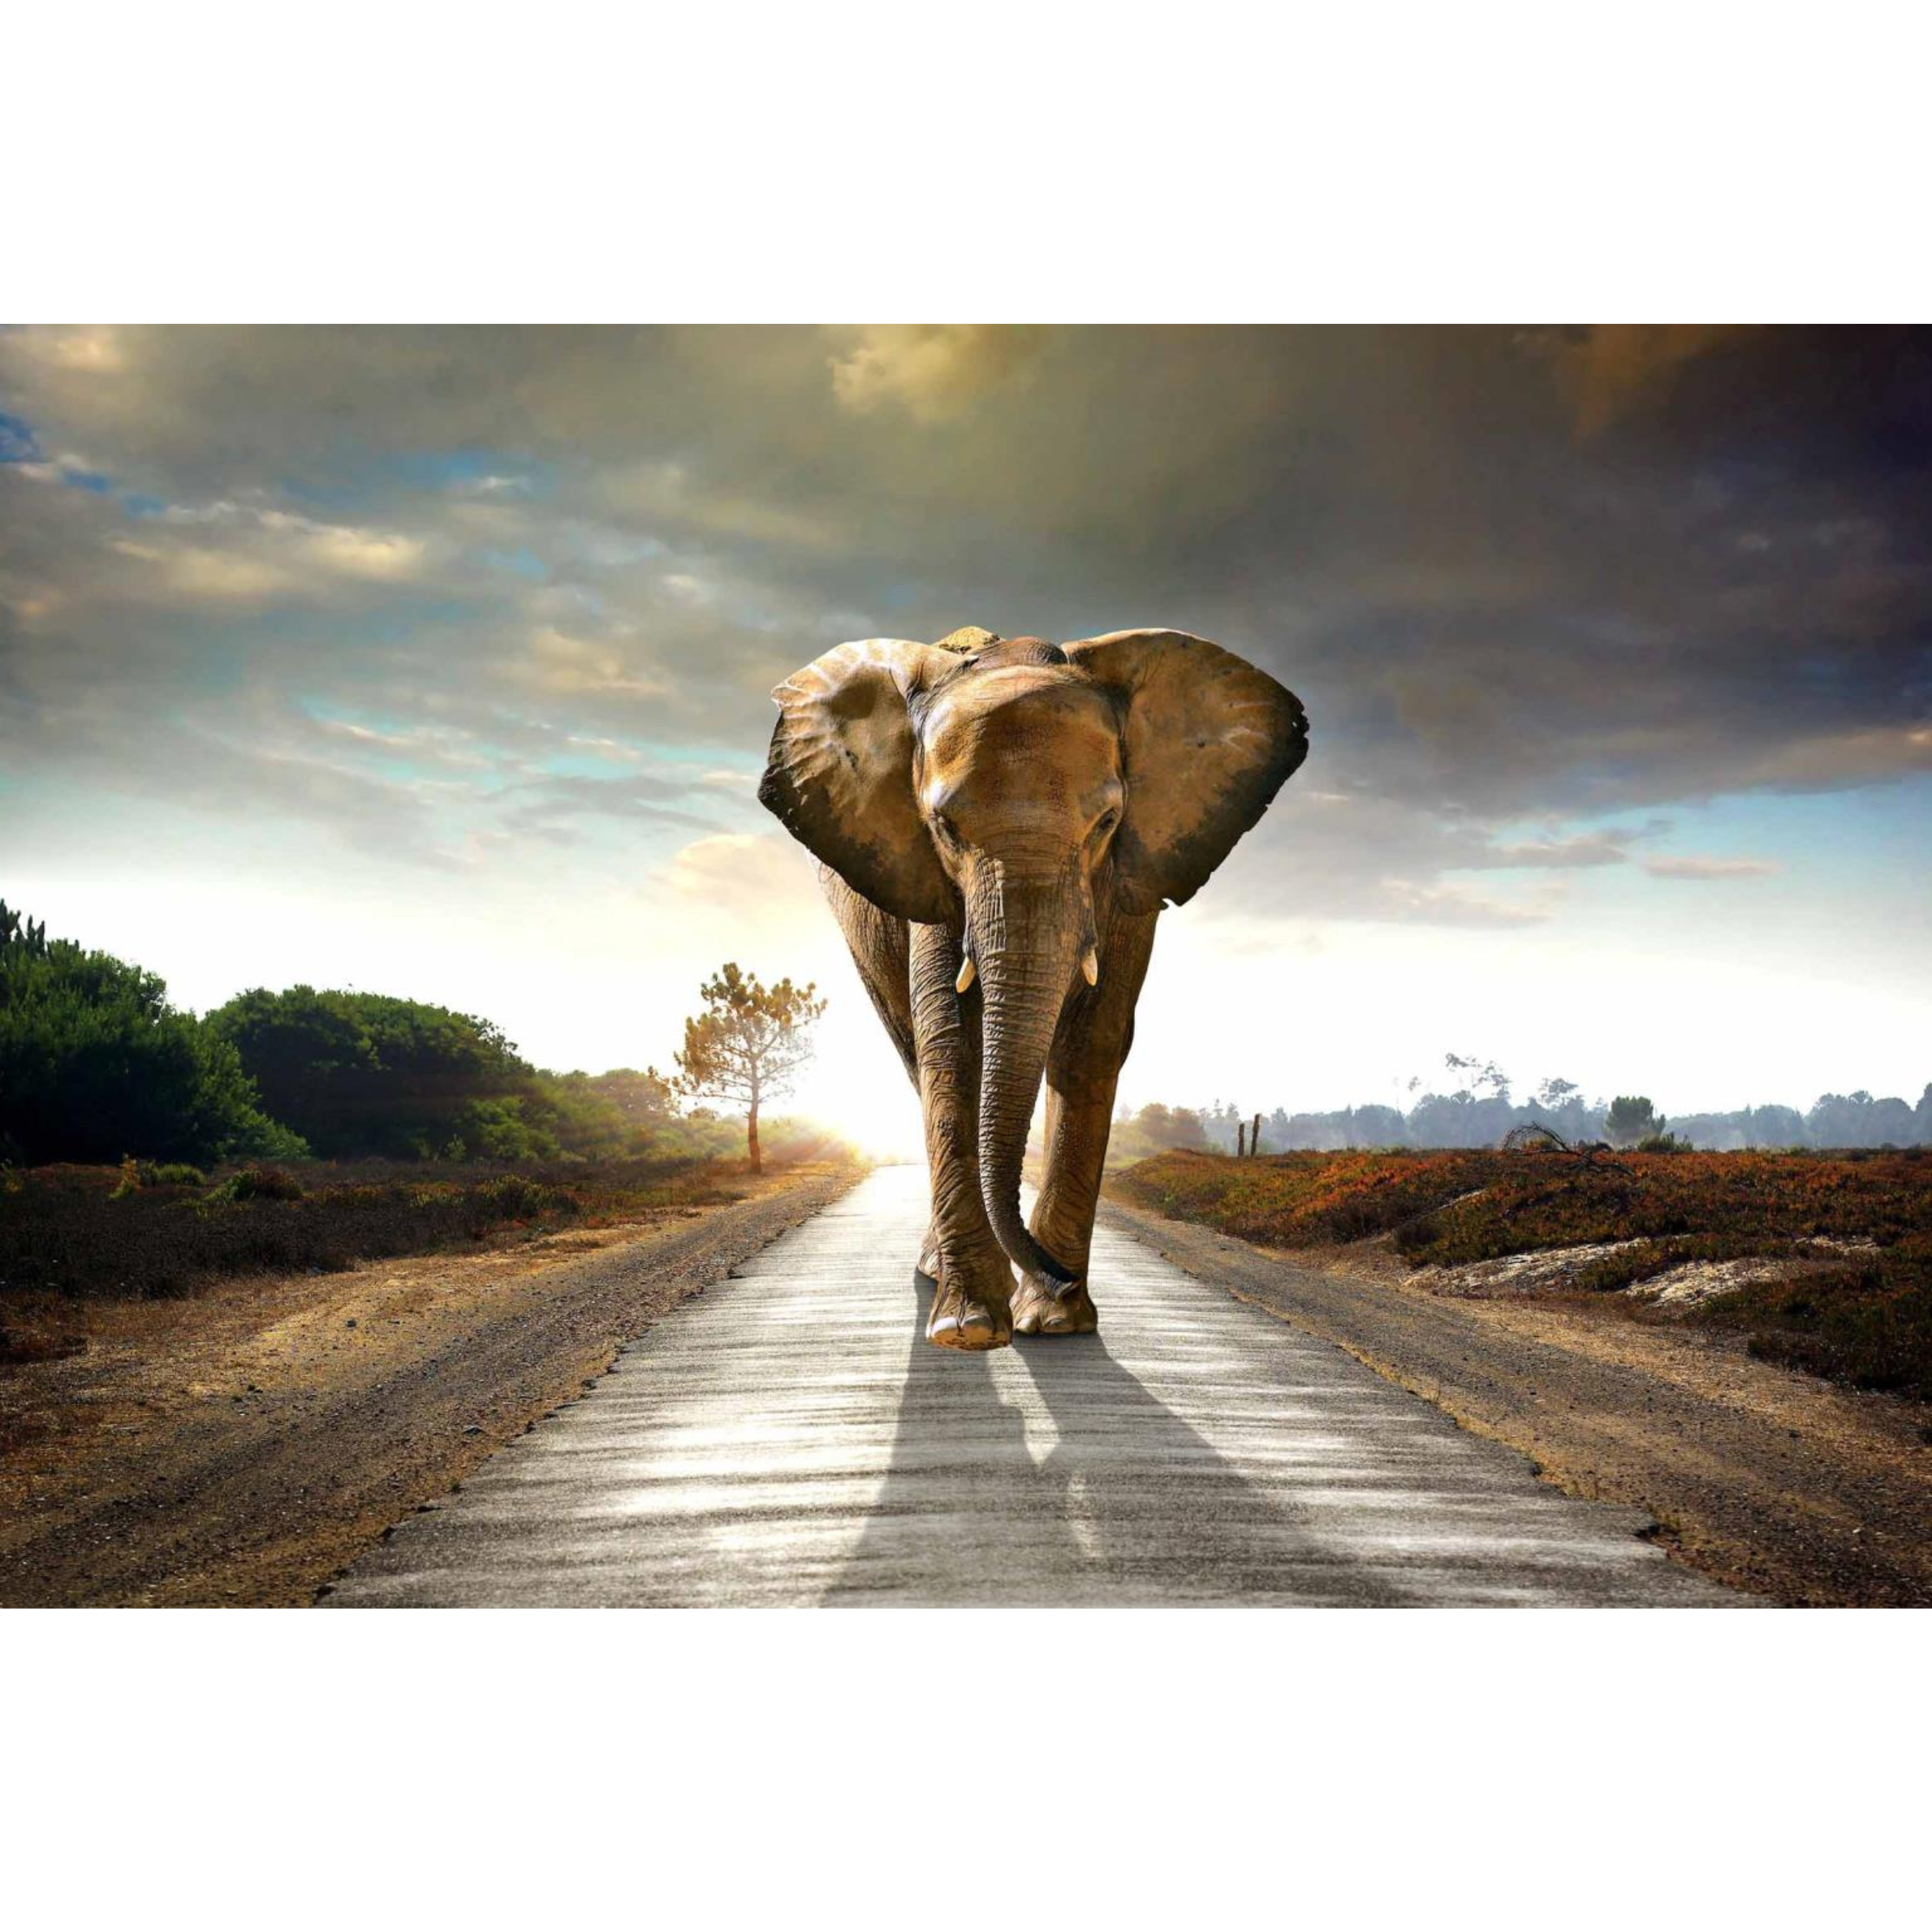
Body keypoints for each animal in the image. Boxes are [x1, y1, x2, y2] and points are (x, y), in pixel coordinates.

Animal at [759, 625, 1307, 1351]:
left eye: (1107, 822)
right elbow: (952, 1043)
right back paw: (940, 1274)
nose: (1058, 1275)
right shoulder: (929, 880)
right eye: (945, 827)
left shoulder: (1129, 879)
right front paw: (969, 1329)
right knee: (913, 1052)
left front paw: (1054, 1321)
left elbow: (1092, 1042)